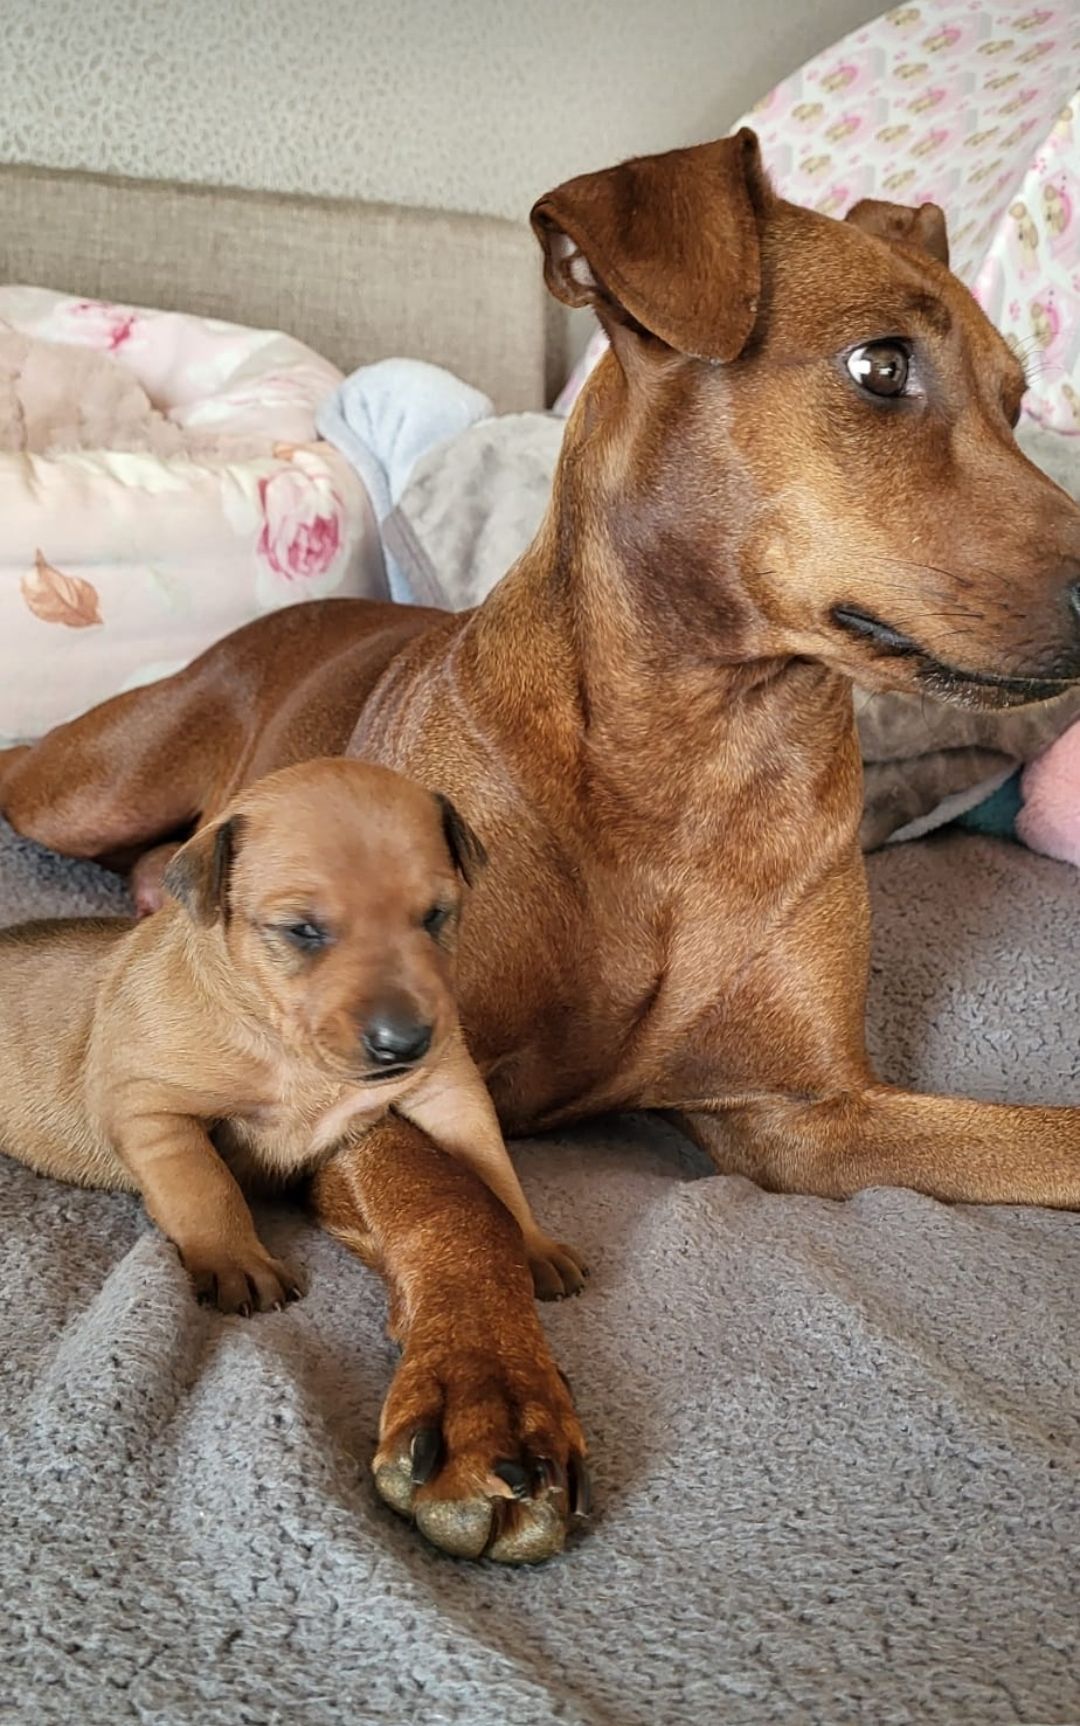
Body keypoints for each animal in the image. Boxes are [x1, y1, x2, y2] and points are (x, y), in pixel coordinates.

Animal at [0, 757, 584, 1311]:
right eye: (302, 930)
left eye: (436, 915)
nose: (404, 1043)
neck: (294, 1054)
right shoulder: (147, 1106)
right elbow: (206, 1185)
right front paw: (236, 1261)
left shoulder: (450, 1090)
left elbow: (495, 1169)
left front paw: (532, 1245)